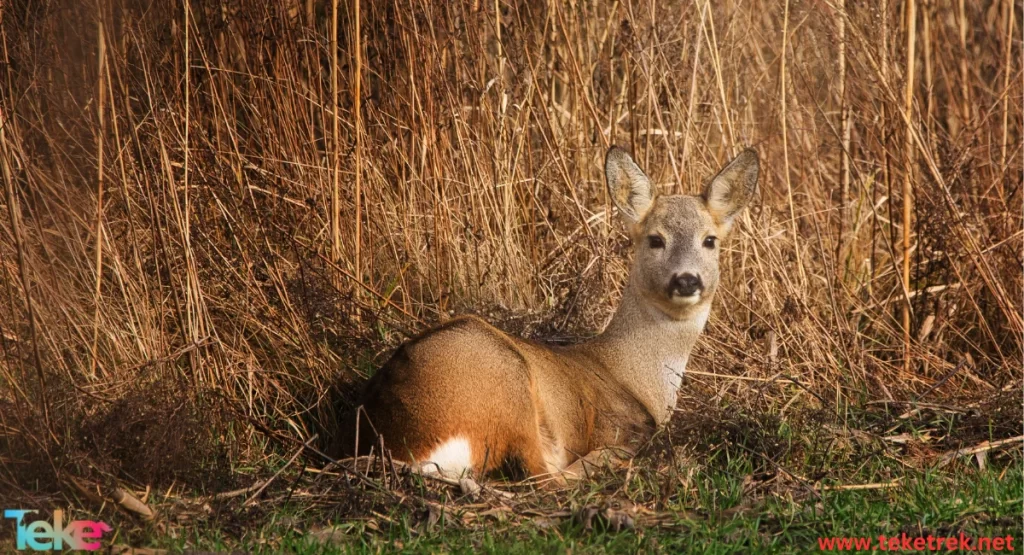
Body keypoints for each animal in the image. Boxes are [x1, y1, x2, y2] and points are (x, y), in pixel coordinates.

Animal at [337, 146, 761, 483]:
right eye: (656, 239)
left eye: (710, 240)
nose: (687, 279)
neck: (632, 375)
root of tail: (406, 446)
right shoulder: (610, 427)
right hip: (503, 377)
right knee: (543, 477)